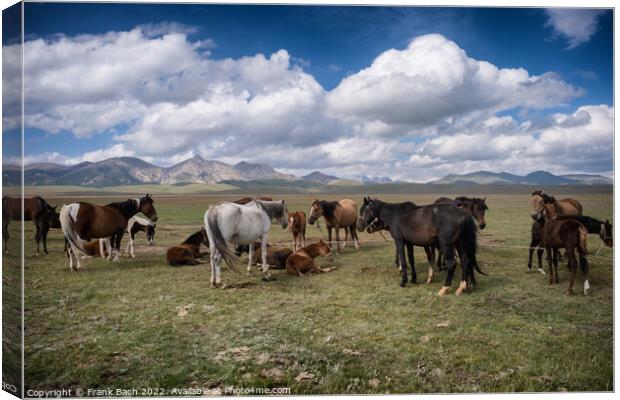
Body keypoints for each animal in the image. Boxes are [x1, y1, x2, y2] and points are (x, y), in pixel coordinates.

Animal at [354, 196, 484, 294]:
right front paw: (413, 279)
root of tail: (463, 213)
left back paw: (444, 288)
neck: (394, 215)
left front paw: (404, 281)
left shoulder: (400, 241)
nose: (359, 226)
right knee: (465, 261)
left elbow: (403, 260)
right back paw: (461, 288)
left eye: (364, 210)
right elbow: (411, 260)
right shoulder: (409, 243)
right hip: (459, 244)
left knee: (452, 263)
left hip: (446, 245)